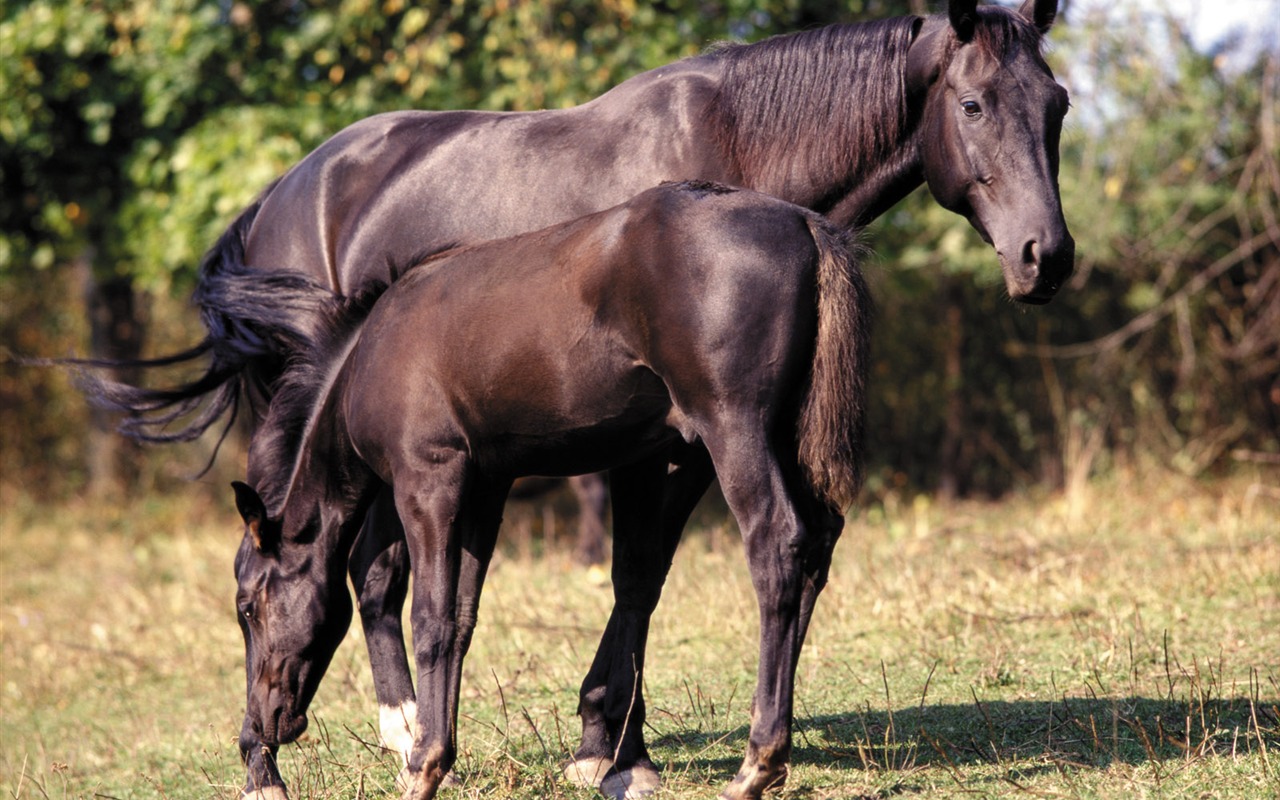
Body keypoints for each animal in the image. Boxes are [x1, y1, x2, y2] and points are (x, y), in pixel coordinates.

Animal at [227, 184, 870, 798]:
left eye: (248, 607)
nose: (257, 732)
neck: (369, 353)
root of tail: (805, 225)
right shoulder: (485, 488)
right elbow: (461, 620)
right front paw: (434, 756)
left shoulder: (429, 480)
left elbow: (430, 619)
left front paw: (425, 765)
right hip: (785, 438)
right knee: (817, 546)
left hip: (734, 430)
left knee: (777, 545)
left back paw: (757, 765)